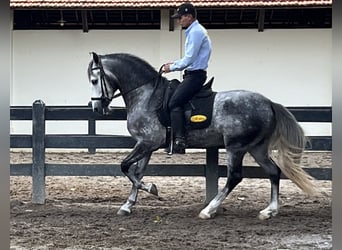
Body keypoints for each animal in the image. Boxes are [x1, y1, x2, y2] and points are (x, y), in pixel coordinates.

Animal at [87, 52, 316, 219]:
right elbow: (137, 172)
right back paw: (269, 211)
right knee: (273, 171)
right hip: (256, 148)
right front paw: (128, 205)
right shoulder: (147, 145)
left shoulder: (148, 142)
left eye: (94, 79)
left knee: (235, 176)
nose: (97, 108)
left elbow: (126, 167)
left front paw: (152, 188)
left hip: (236, 147)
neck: (147, 96)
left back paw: (208, 210)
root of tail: (268, 103)